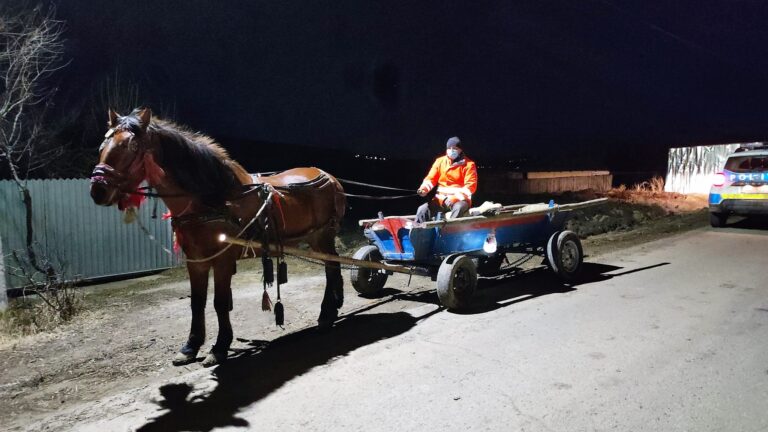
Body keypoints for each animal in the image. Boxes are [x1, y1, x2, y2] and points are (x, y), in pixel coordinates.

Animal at [88, 109, 348, 368]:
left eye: (131, 146)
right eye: (102, 145)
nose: (98, 191)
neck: (213, 198)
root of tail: (330, 177)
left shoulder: (222, 260)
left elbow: (220, 302)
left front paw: (220, 346)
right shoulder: (196, 261)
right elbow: (197, 302)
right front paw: (190, 346)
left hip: (322, 236)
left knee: (331, 268)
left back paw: (326, 315)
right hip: (316, 239)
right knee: (333, 267)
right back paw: (333, 309)